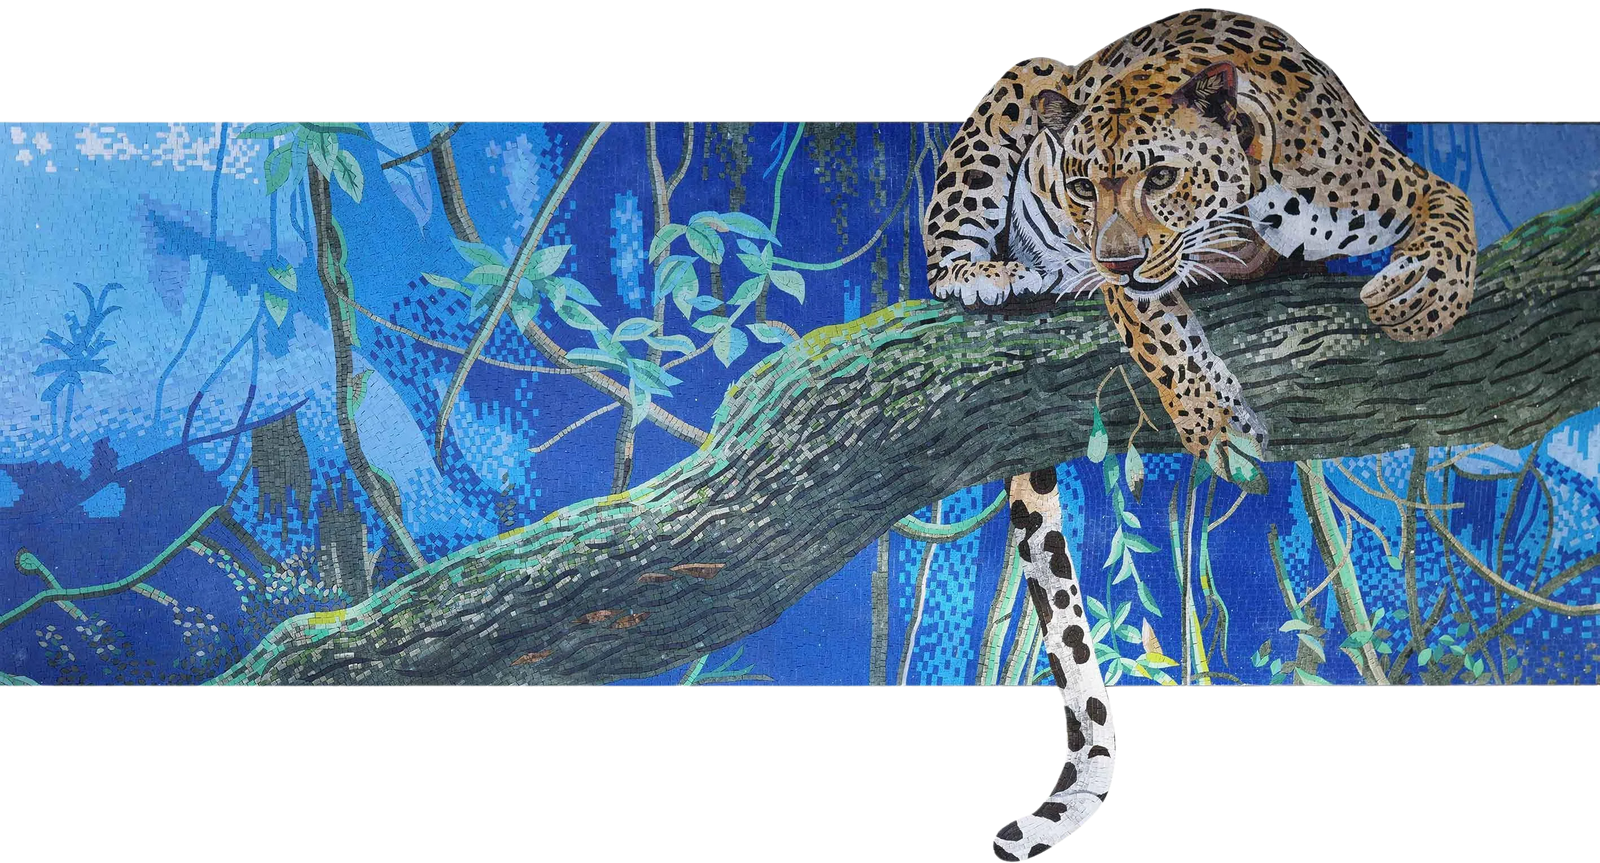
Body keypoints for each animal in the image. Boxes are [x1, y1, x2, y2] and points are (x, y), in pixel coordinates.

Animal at [921, 8, 1478, 862]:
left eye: (1159, 177)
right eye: (1081, 186)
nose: (1110, 255)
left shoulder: (1393, 182)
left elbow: (1452, 210)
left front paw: (1418, 299)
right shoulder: (1132, 282)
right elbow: (1161, 332)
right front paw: (1219, 427)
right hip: (1025, 79)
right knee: (944, 241)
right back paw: (987, 274)